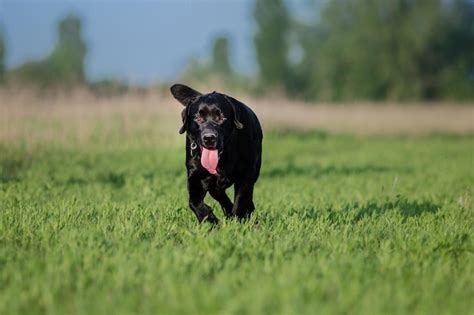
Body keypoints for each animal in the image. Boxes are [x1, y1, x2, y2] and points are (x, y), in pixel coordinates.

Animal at [169, 82, 262, 223]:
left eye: (221, 117)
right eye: (198, 117)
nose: (209, 137)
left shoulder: (245, 174)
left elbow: (241, 200)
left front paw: (237, 221)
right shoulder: (196, 175)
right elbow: (194, 202)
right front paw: (211, 220)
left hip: (255, 170)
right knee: (219, 195)